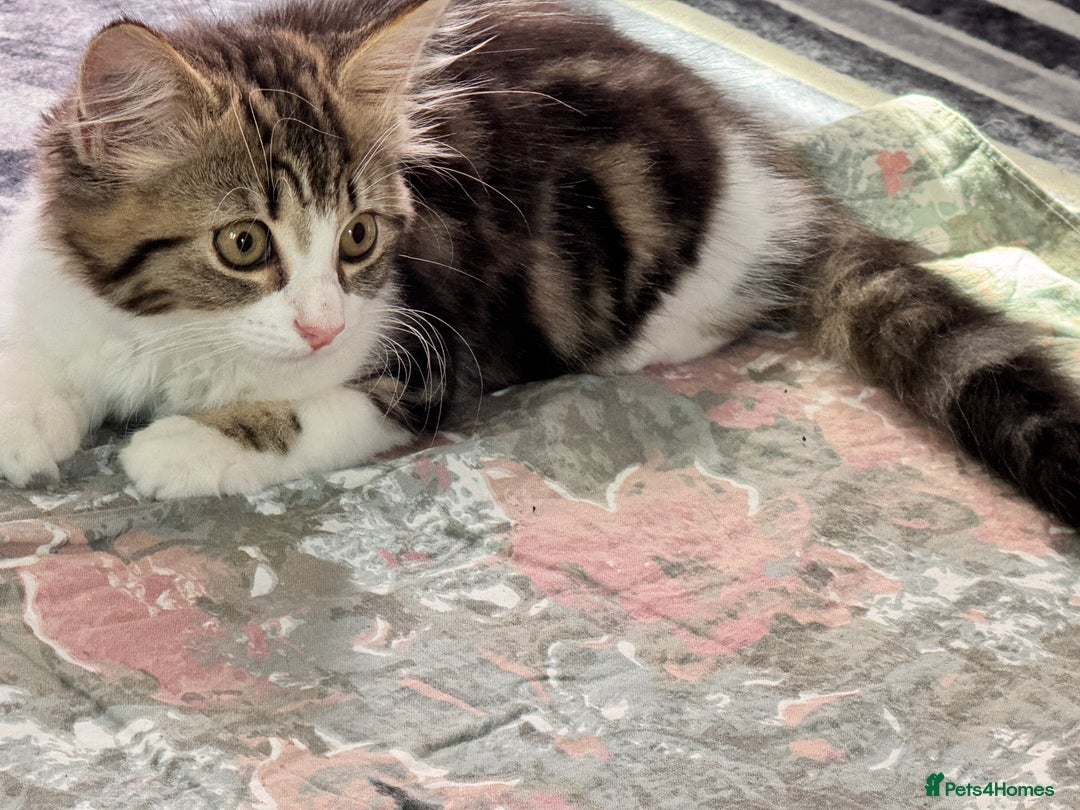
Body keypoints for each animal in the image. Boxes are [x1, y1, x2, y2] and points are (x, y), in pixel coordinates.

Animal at [0, 0, 1077, 527]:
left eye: (359, 238)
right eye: (244, 244)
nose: (320, 322)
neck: (170, 329)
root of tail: (761, 157)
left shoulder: (427, 353)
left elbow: (310, 414)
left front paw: (188, 444)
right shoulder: (50, 275)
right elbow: (35, 350)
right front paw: (26, 418)